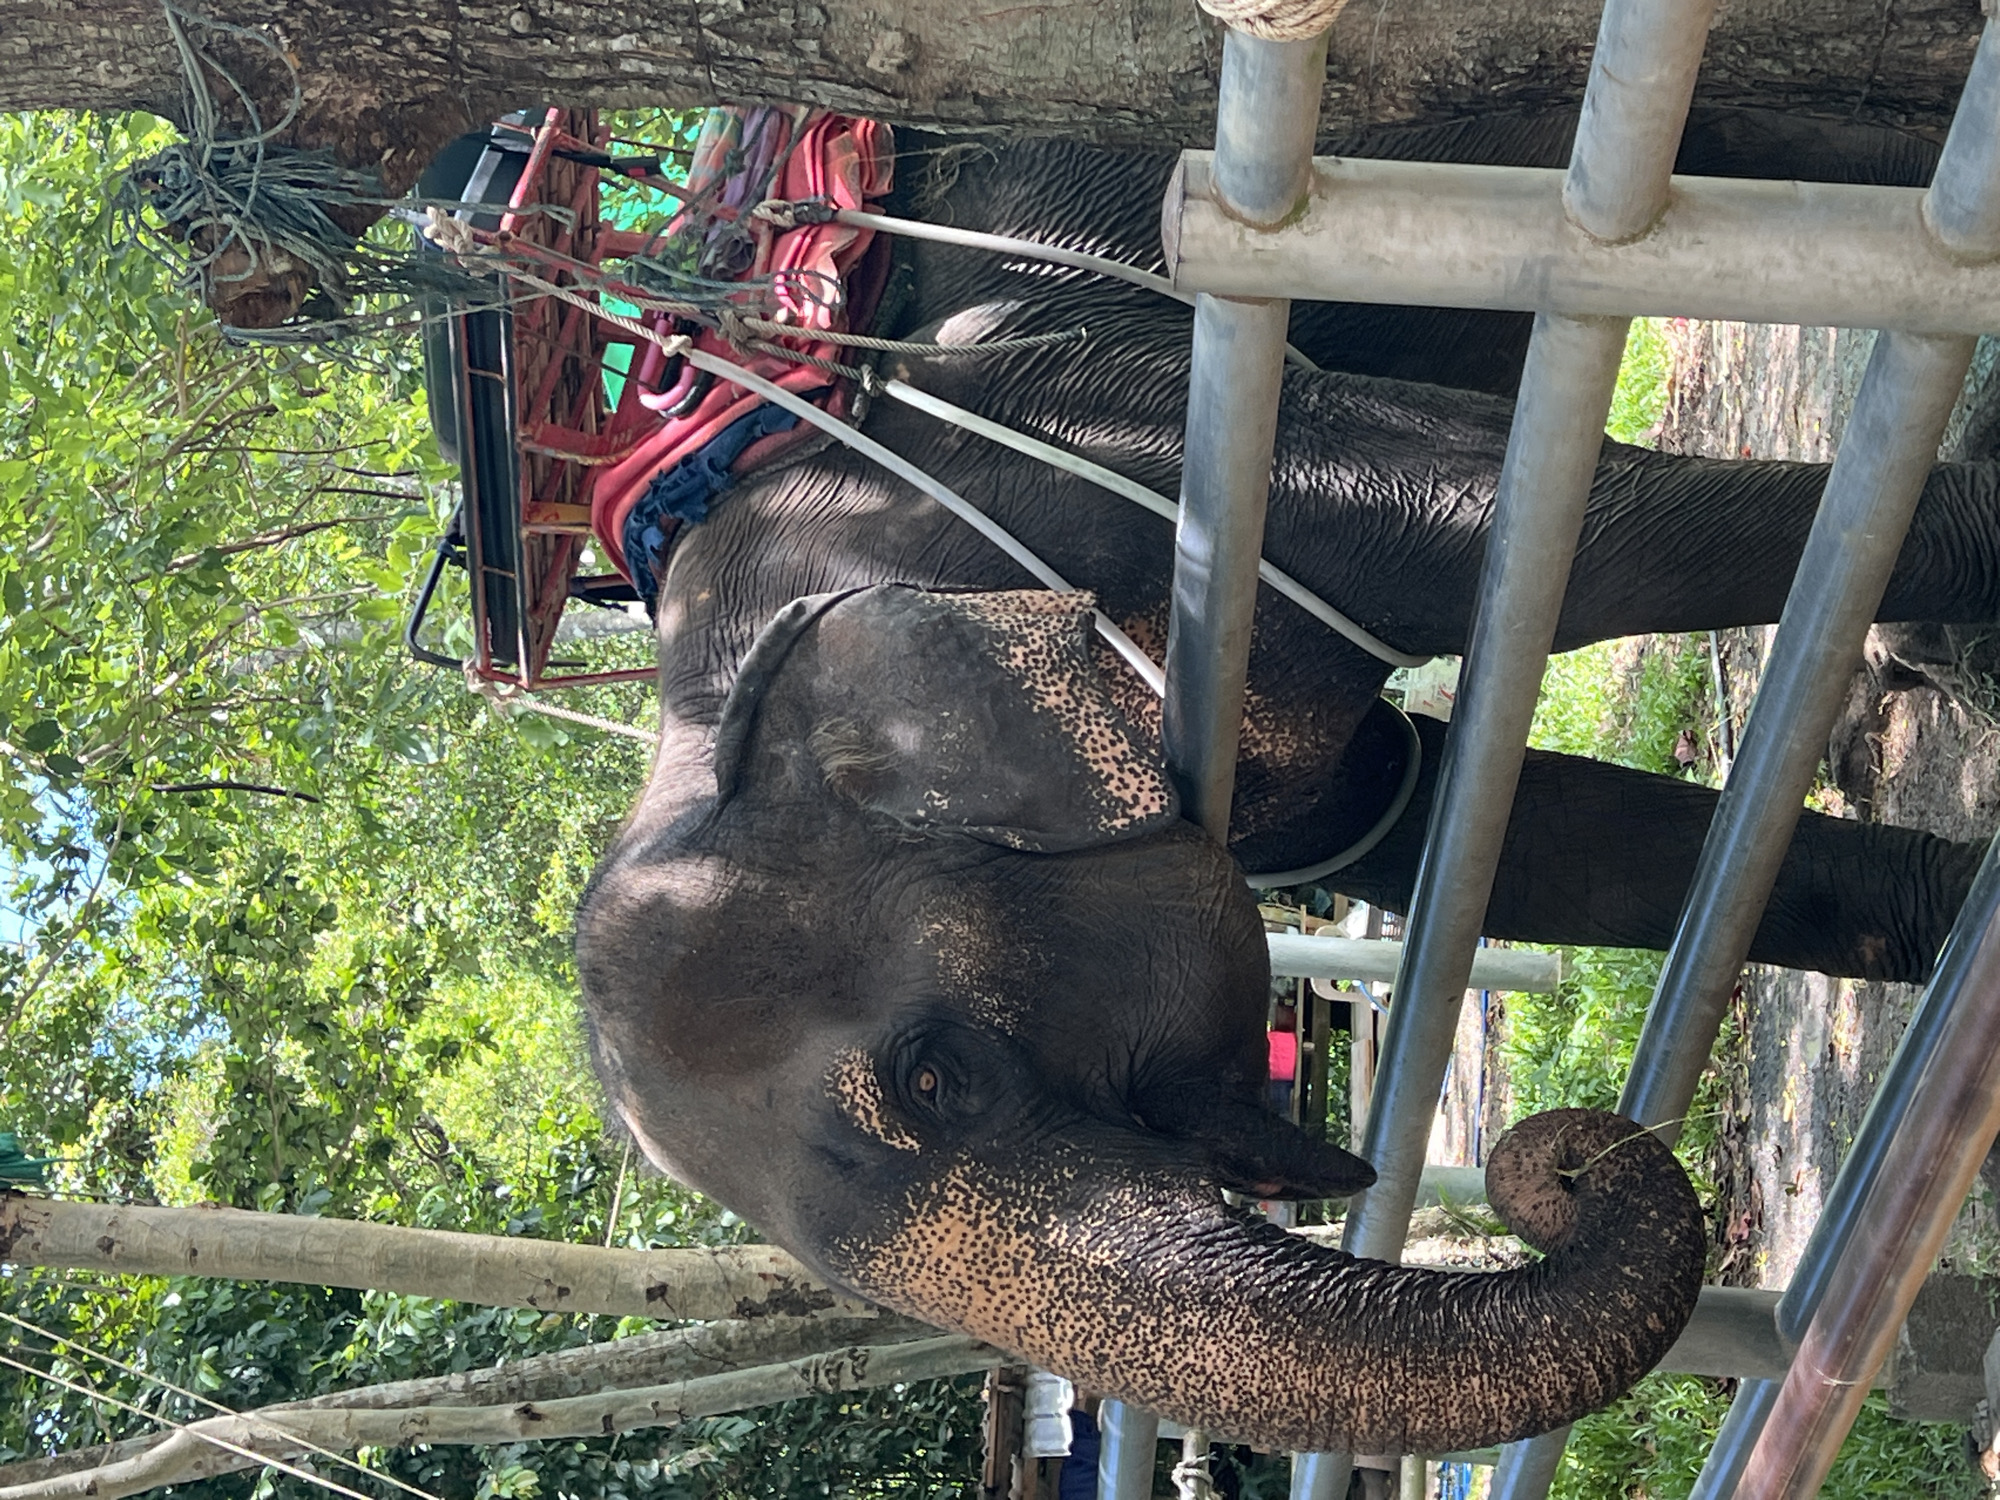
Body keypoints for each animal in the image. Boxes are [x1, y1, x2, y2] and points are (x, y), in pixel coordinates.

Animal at [573, 114, 1998, 1454]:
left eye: (934, 1081)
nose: (1566, 1165)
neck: (703, 713)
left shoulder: (1098, 425)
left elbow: (1591, 539)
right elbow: (1486, 828)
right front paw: (1958, 917)